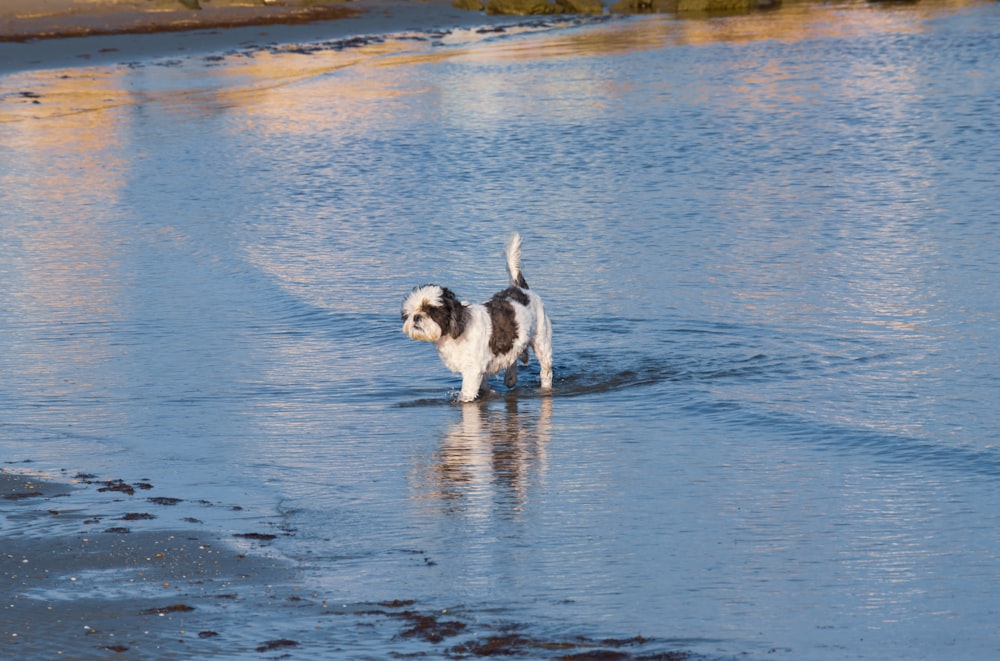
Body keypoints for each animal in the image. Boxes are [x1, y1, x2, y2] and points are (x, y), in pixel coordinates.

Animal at [400, 232, 556, 400]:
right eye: (409, 313)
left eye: (430, 310)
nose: (416, 317)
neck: (456, 332)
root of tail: (520, 288)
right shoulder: (480, 370)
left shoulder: (472, 370)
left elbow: (467, 394)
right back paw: (510, 377)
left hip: (542, 341)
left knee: (546, 370)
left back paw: (545, 388)